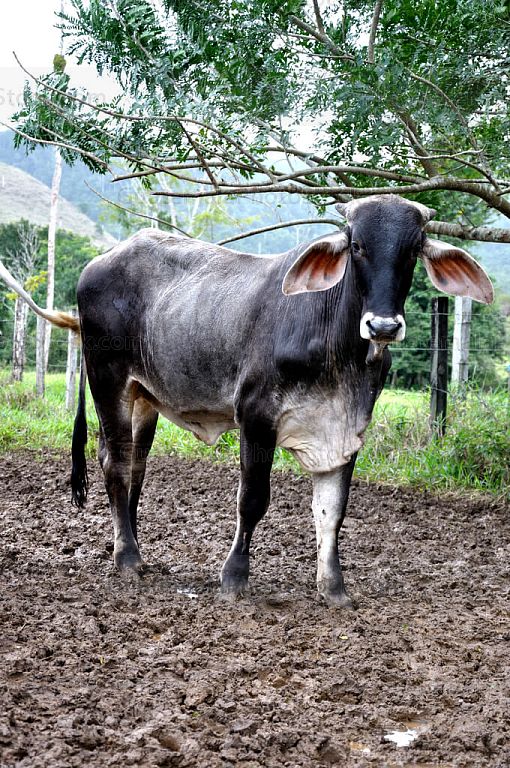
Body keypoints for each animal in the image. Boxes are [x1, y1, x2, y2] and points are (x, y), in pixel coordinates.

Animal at [0, 194, 493, 607]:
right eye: (357, 246)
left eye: (413, 249)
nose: (384, 326)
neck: (338, 350)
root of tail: (100, 262)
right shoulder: (256, 417)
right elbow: (253, 499)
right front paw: (234, 578)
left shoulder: (346, 431)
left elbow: (332, 512)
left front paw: (334, 588)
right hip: (109, 383)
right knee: (115, 464)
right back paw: (128, 559)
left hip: (144, 398)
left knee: (134, 467)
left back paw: (131, 543)